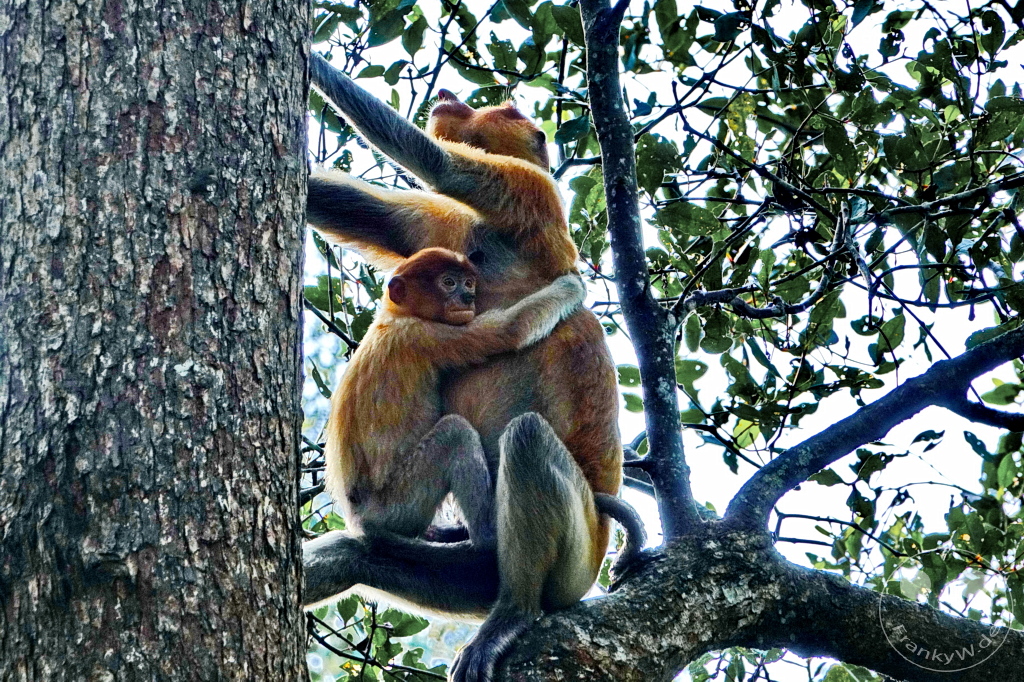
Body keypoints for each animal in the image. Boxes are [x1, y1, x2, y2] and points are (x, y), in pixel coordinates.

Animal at [325, 247, 586, 550]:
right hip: (397, 505)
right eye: (449, 282)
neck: (395, 316)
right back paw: (487, 534)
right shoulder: (426, 334)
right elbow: (511, 330)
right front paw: (572, 285)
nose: (468, 297)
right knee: (456, 433)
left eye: (469, 283)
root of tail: (357, 519)